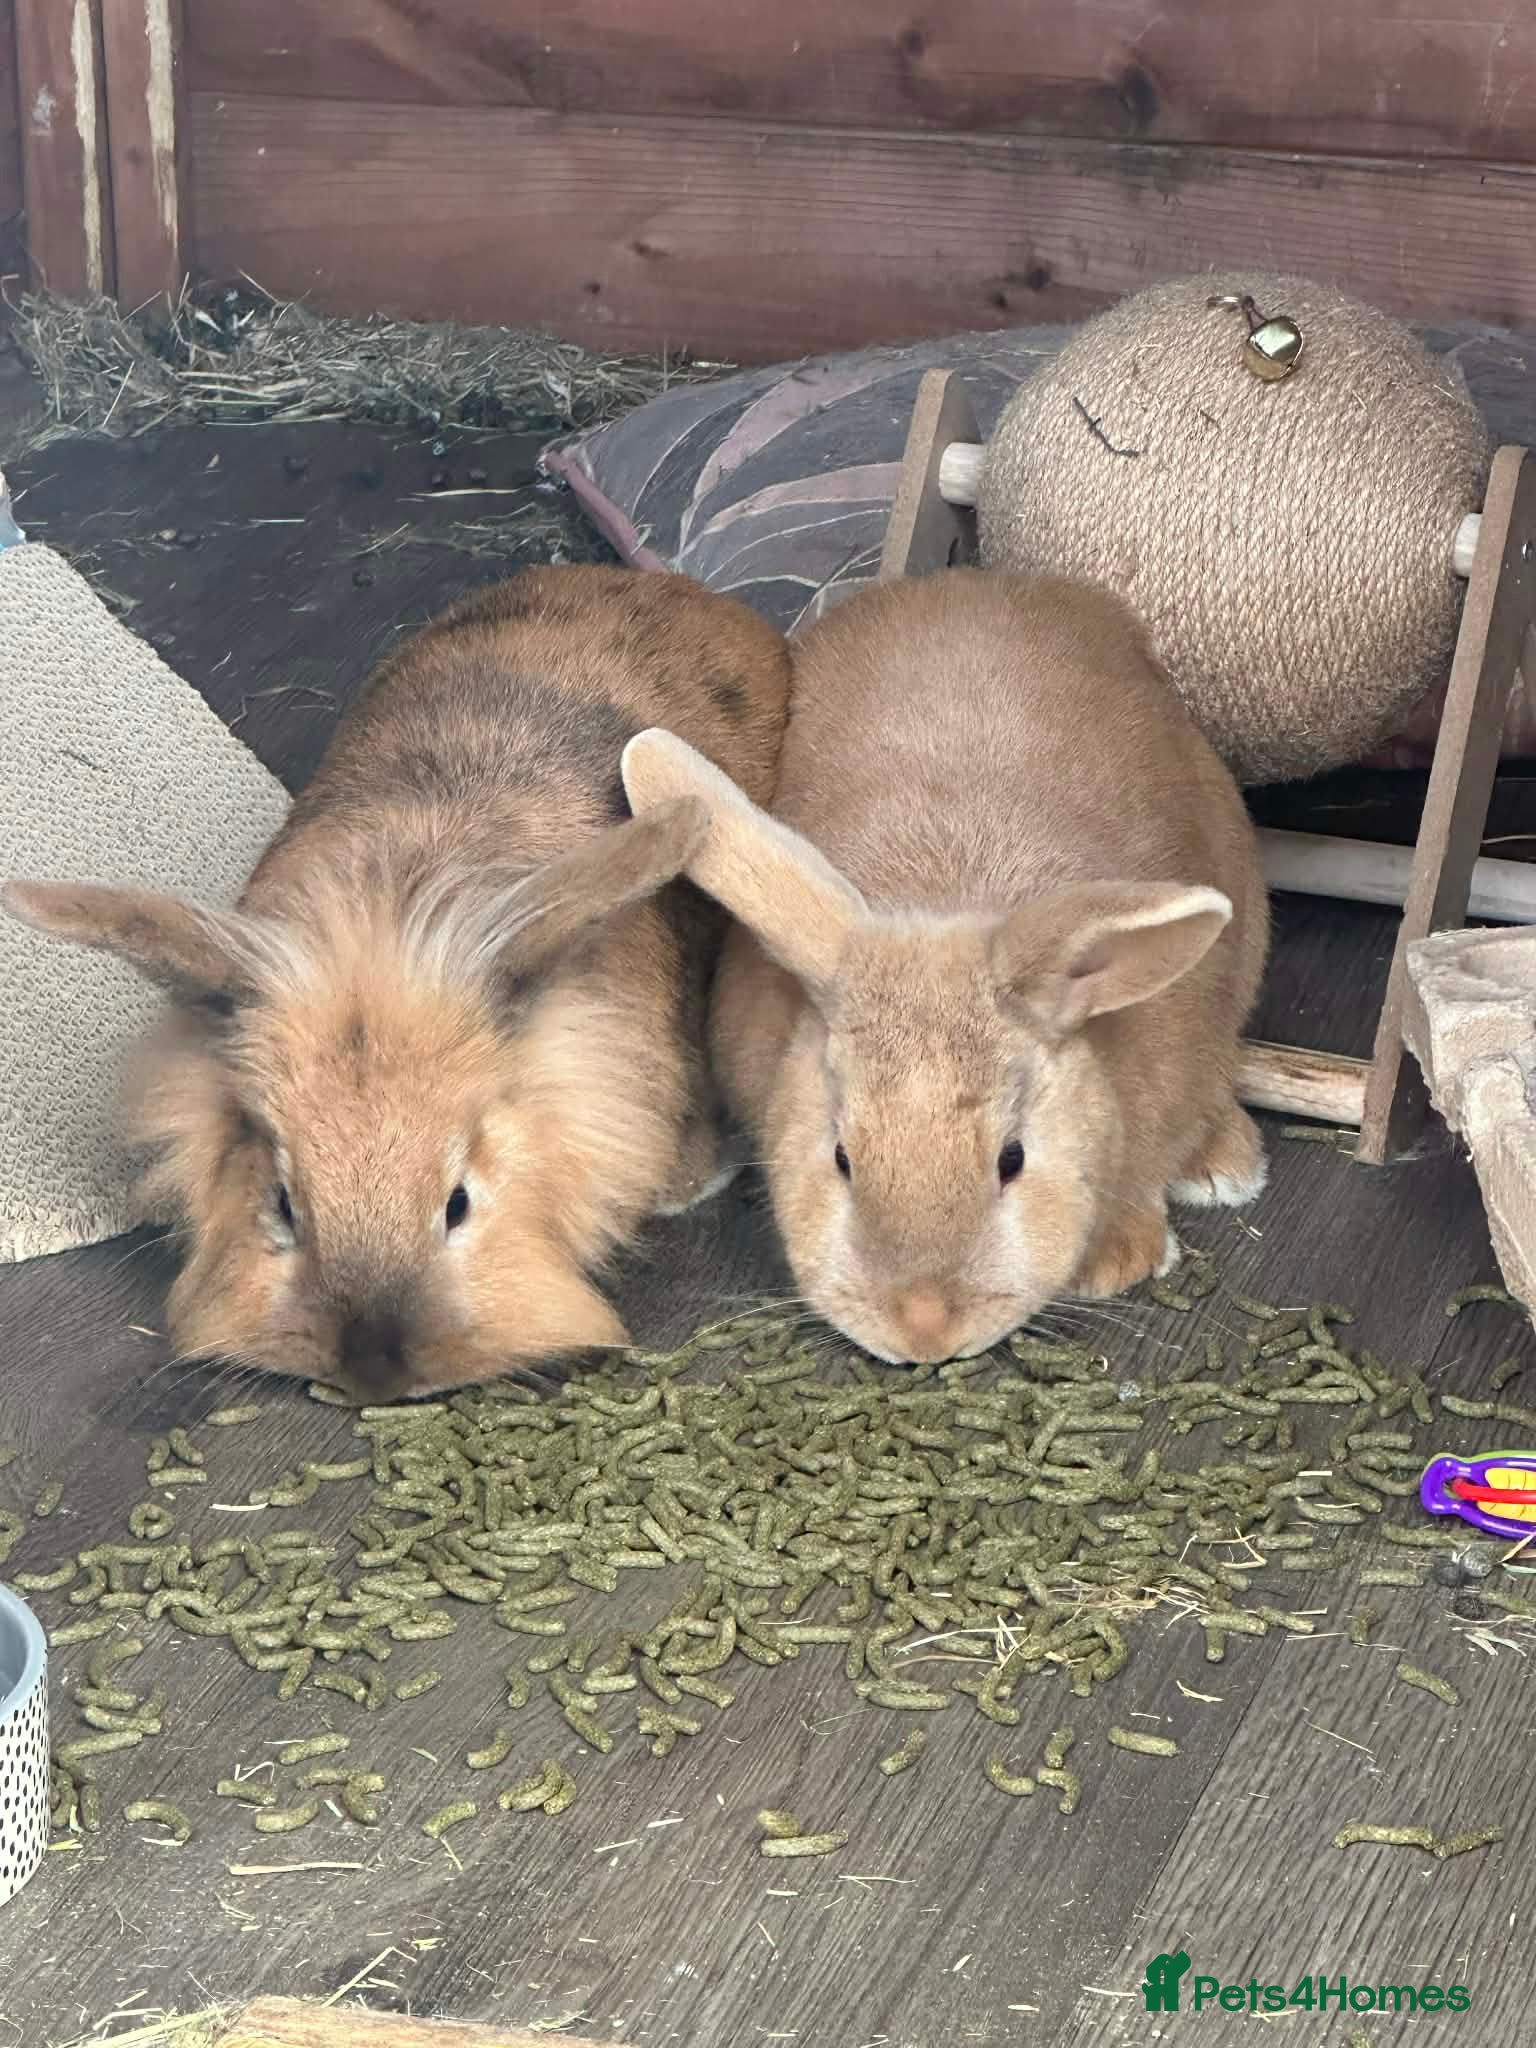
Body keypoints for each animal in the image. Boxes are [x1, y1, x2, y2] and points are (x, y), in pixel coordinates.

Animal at [620, 568, 1268, 1366]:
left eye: (1012, 1160)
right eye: (842, 1158)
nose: (925, 1329)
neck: (947, 894)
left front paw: (1119, 1259)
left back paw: (1226, 1165)